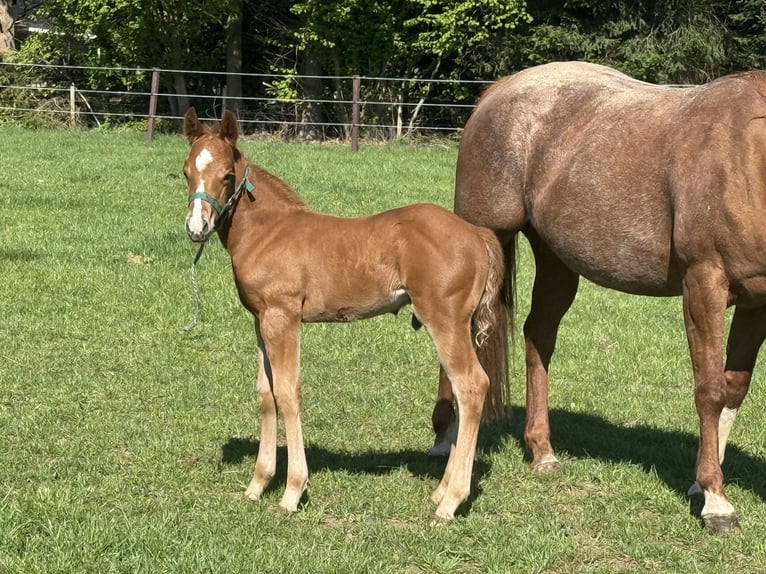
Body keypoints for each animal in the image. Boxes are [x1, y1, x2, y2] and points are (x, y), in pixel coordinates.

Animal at [180, 107, 505, 522]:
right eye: (186, 171)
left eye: (226, 174)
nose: (197, 227)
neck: (267, 230)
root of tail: (477, 234)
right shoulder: (260, 319)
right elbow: (265, 394)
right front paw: (257, 485)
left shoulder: (283, 317)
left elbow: (287, 392)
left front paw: (292, 492)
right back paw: (441, 492)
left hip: (445, 321)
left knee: (472, 385)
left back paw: (450, 503)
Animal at [430, 61, 766, 533]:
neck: (748, 157)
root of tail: (499, 90)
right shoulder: (704, 286)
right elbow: (710, 390)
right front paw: (716, 502)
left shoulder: (758, 302)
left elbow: (734, 390)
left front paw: (701, 485)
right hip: (486, 235)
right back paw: (445, 439)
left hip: (555, 261)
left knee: (538, 337)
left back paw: (542, 451)